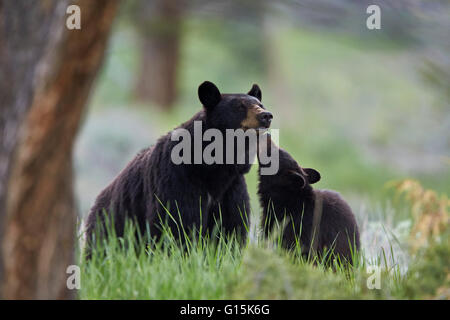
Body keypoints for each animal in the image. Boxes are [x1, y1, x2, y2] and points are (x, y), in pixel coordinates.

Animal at [85, 81, 272, 256]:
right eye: (239, 106)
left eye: (260, 104)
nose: (266, 115)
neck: (213, 168)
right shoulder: (177, 179)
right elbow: (178, 222)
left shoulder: (231, 187)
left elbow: (230, 226)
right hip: (111, 225)